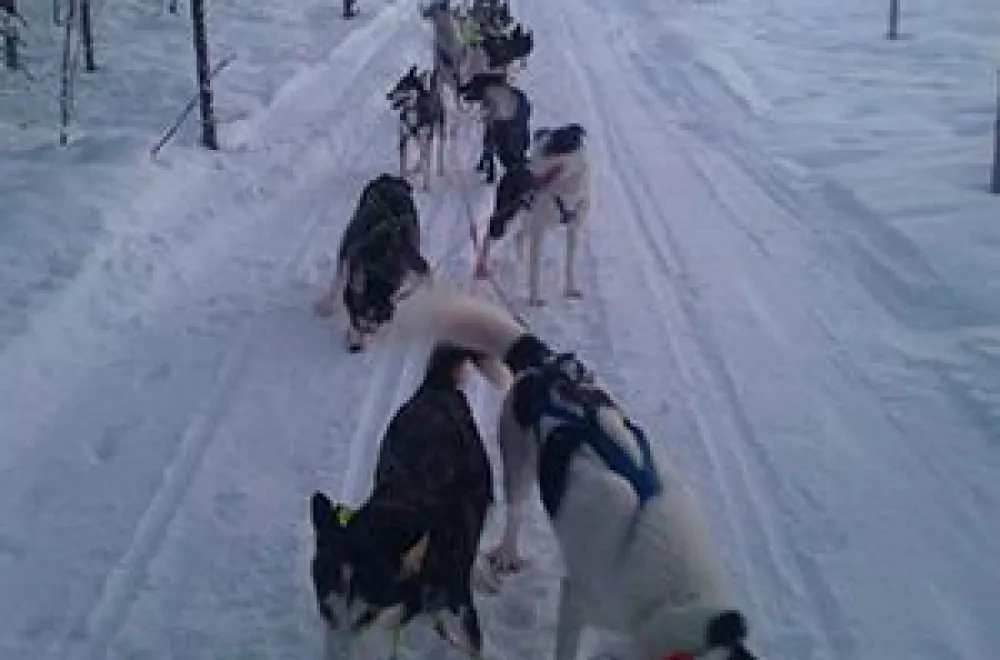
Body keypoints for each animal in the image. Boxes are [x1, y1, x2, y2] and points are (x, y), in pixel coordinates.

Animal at [388, 292, 756, 660]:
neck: (676, 597)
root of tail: (548, 364)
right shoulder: (577, 601)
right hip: (518, 463)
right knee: (515, 511)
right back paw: (508, 553)